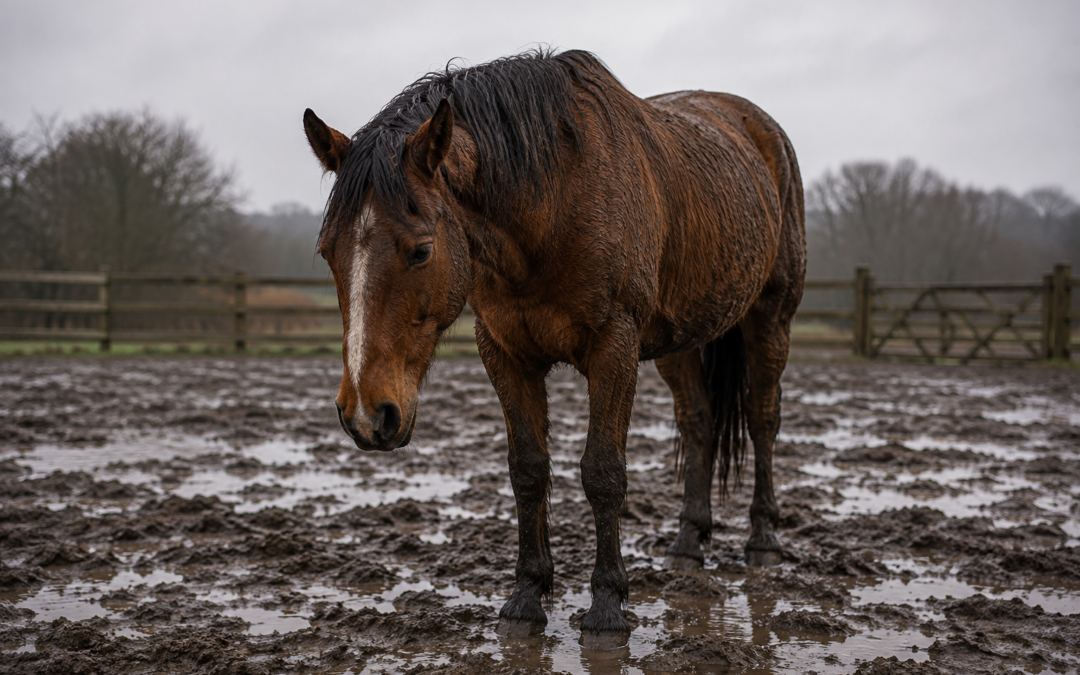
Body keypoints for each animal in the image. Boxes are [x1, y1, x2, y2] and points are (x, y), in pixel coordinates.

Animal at [303, 49, 805, 649]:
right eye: (326, 252)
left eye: (421, 250)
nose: (365, 414)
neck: (552, 202)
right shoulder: (504, 352)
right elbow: (528, 469)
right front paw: (526, 595)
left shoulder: (614, 349)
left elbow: (603, 473)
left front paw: (607, 605)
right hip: (680, 343)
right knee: (700, 424)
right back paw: (688, 542)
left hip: (770, 319)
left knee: (762, 419)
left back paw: (763, 539)